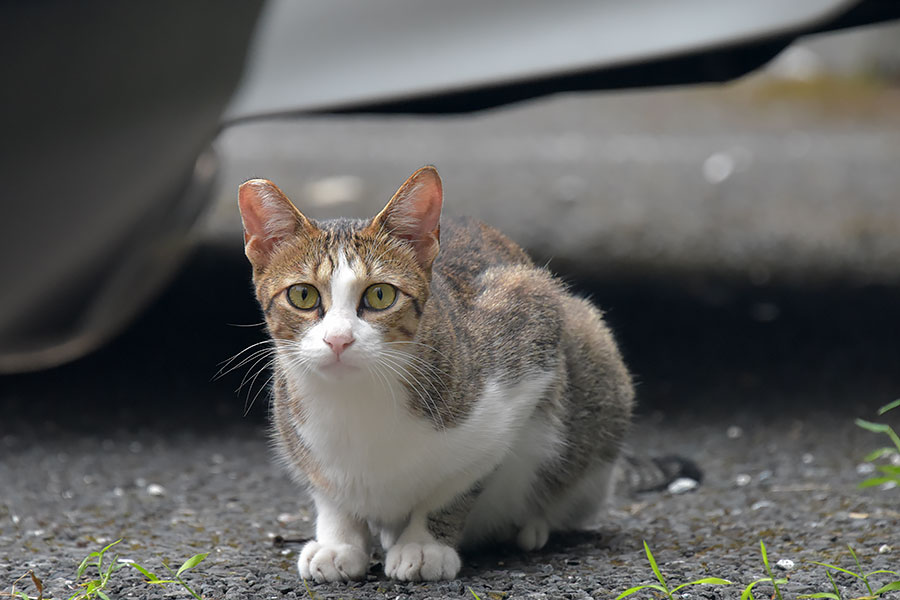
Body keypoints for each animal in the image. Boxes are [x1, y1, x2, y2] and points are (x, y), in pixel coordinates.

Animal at [237, 166, 632, 584]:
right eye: (303, 296)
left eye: (380, 295)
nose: (339, 339)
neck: (356, 399)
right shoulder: (296, 431)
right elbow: (329, 490)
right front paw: (339, 541)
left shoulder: (529, 326)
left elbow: (459, 480)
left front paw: (424, 544)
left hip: (590, 348)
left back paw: (530, 526)